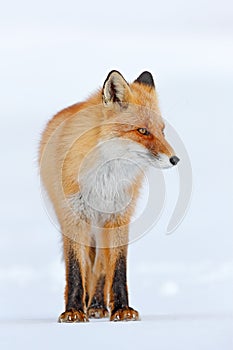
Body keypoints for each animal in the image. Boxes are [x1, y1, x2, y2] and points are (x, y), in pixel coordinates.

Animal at [39, 70, 179, 322]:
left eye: (162, 131)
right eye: (142, 131)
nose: (175, 159)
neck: (104, 180)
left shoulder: (119, 217)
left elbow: (118, 268)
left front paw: (122, 309)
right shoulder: (73, 216)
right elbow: (75, 269)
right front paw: (73, 310)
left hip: (102, 227)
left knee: (101, 267)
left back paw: (97, 304)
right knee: (87, 265)